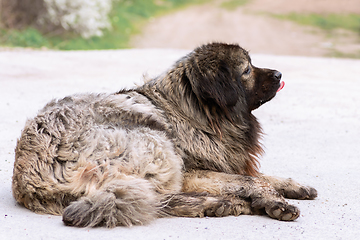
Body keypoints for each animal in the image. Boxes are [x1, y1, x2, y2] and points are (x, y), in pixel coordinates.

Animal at [11, 42, 316, 228]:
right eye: (247, 70)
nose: (279, 74)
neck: (196, 114)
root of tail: (27, 178)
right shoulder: (193, 171)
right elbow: (250, 180)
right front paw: (275, 201)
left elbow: (260, 176)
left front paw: (293, 185)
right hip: (156, 141)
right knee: (157, 198)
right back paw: (220, 204)